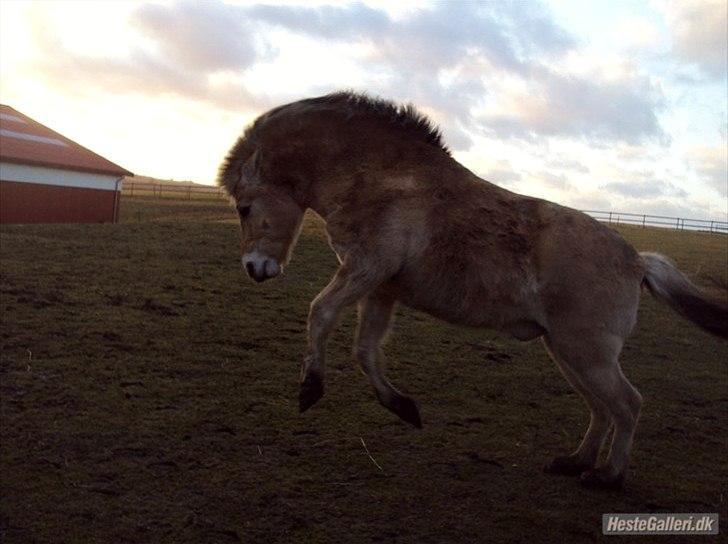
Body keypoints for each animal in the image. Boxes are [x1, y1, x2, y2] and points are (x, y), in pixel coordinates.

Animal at [216, 89, 728, 488]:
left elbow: (320, 313)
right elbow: (366, 350)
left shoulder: (366, 270)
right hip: (568, 352)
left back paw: (608, 476)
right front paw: (402, 406)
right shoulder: (380, 288)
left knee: (627, 405)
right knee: (602, 409)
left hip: (587, 353)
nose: (253, 268)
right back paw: (575, 462)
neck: (383, 179)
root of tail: (637, 260)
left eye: (244, 207)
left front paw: (310, 388)